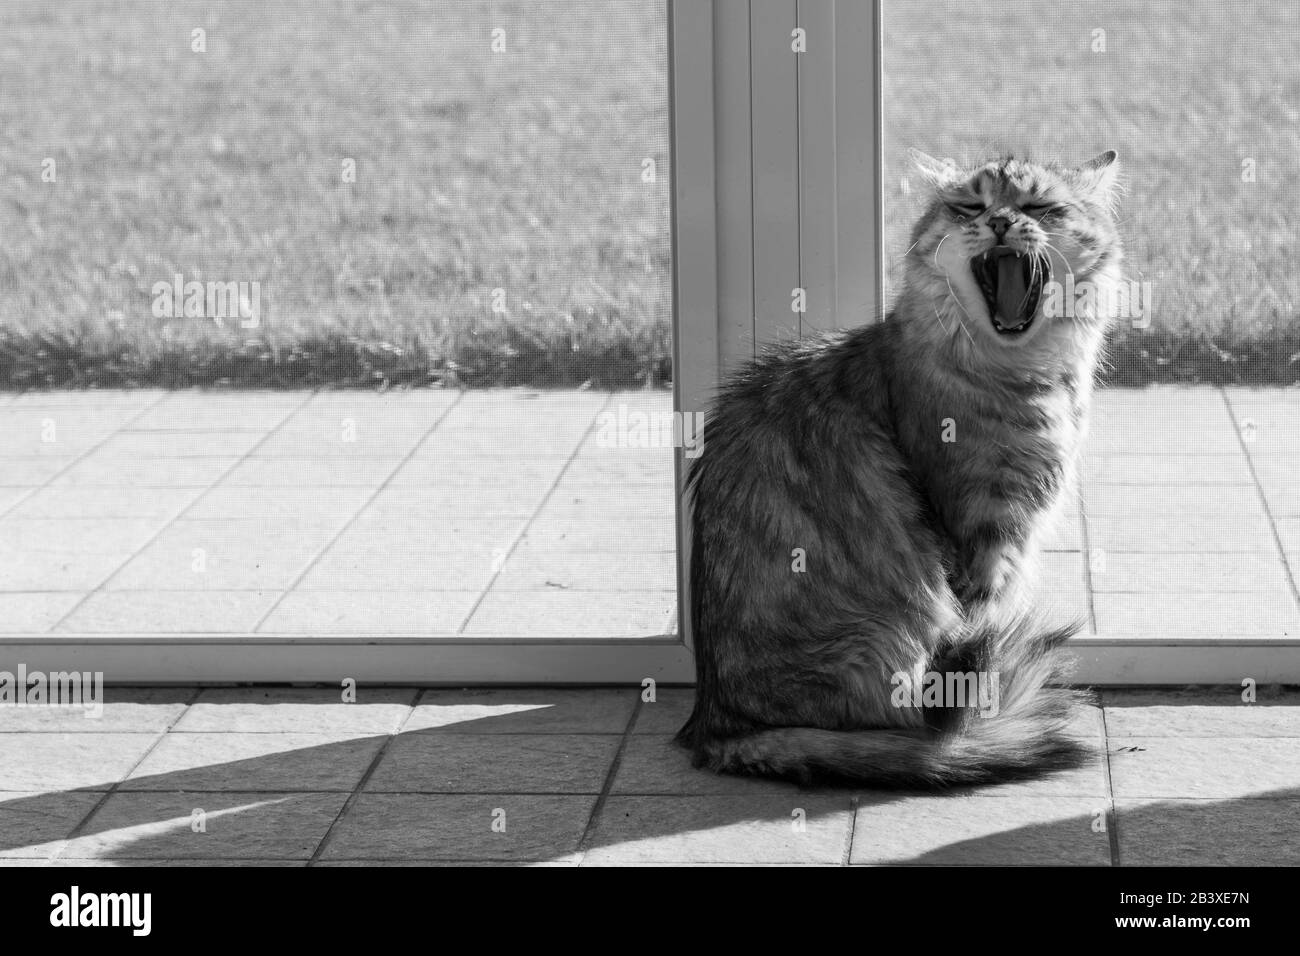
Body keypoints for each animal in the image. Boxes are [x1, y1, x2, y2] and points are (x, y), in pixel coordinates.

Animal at [681, 151, 1128, 785]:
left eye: (1039, 206)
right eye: (970, 206)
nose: (998, 222)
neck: (1030, 377)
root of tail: (717, 727)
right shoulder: (984, 530)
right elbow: (981, 628)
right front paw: (982, 715)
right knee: (916, 714)